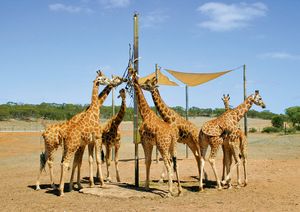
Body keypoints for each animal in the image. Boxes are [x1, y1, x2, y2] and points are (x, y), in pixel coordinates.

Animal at [127, 60, 183, 196]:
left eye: (131, 71)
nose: (140, 83)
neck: (145, 114)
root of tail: (171, 134)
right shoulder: (151, 143)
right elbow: (150, 161)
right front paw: (147, 185)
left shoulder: (144, 141)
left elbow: (147, 161)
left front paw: (147, 186)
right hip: (173, 146)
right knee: (176, 163)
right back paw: (179, 190)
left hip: (163, 146)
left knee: (168, 163)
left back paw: (169, 192)